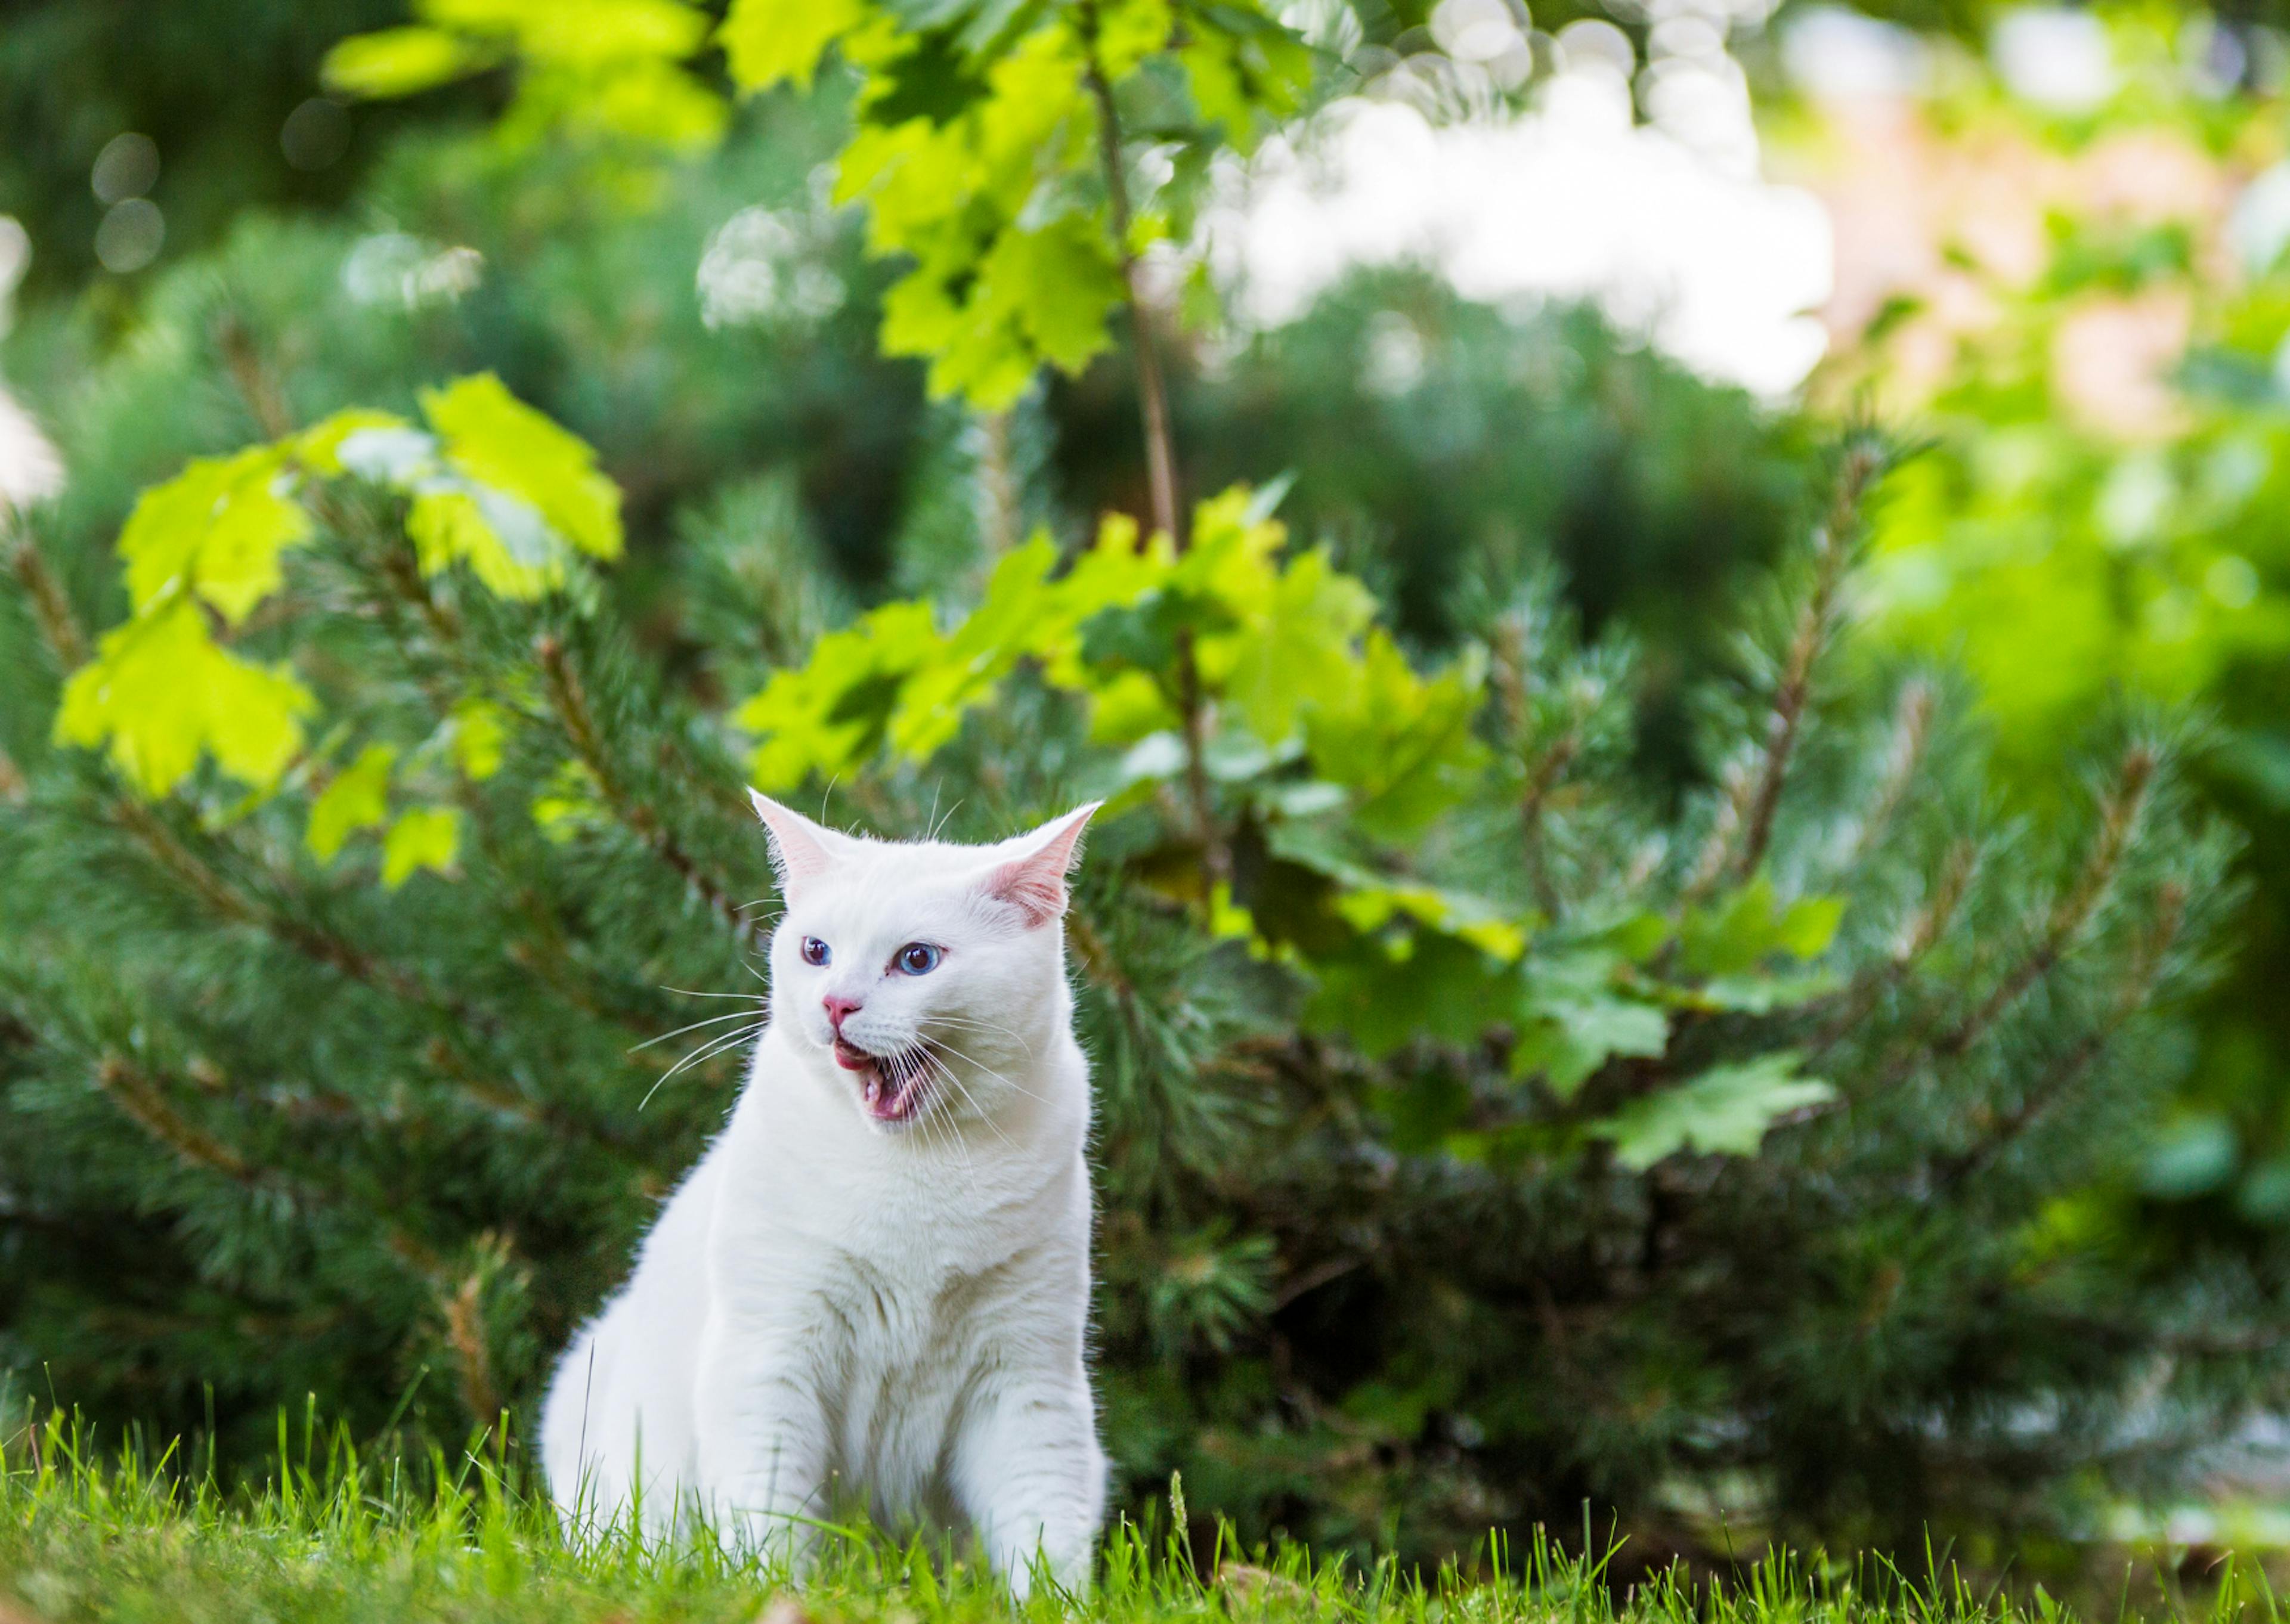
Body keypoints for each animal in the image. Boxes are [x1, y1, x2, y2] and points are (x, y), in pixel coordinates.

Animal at [538, 792, 1108, 1594]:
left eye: (917, 960)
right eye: (816, 951)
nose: (836, 1004)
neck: (919, 1170)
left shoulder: (1027, 1378)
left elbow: (1044, 1527)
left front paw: (1057, 1605)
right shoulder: (770, 1357)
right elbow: (770, 1521)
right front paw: (778, 1597)